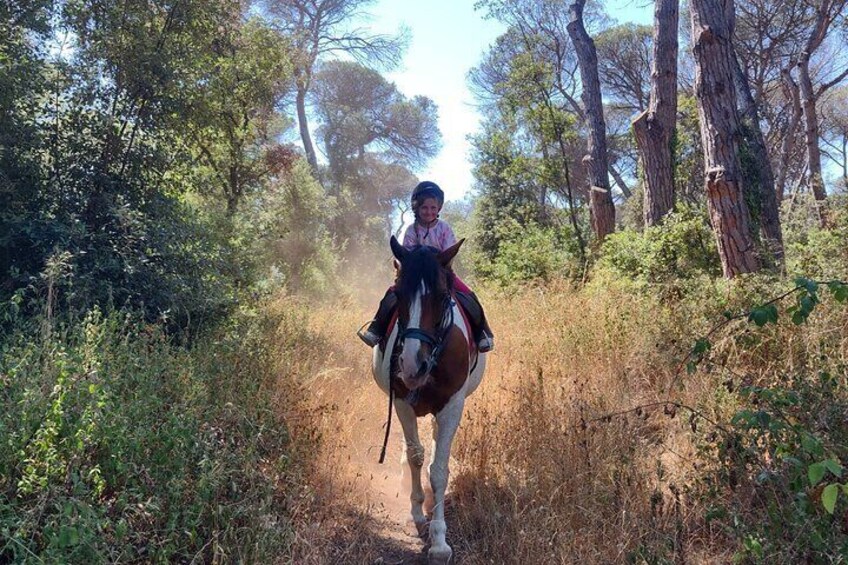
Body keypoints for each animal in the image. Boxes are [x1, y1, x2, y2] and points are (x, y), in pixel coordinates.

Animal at [372, 235, 486, 564]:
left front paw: (439, 542)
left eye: (443, 295)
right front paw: (417, 513)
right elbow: (415, 457)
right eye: (398, 293)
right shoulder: (401, 403)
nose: (412, 365)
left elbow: (438, 469)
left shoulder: (452, 407)